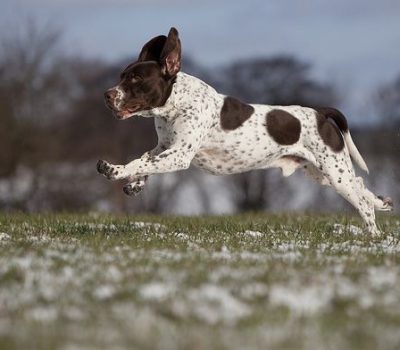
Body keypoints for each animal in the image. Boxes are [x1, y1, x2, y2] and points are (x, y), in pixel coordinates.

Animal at [97, 27, 394, 235]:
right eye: (122, 76)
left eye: (136, 79)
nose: (107, 95)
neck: (175, 106)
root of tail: (321, 113)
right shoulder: (165, 147)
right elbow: (145, 161)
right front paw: (134, 184)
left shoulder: (180, 154)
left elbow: (138, 163)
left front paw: (114, 170)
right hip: (323, 173)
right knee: (360, 186)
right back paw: (383, 202)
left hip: (334, 172)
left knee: (362, 202)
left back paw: (373, 235)